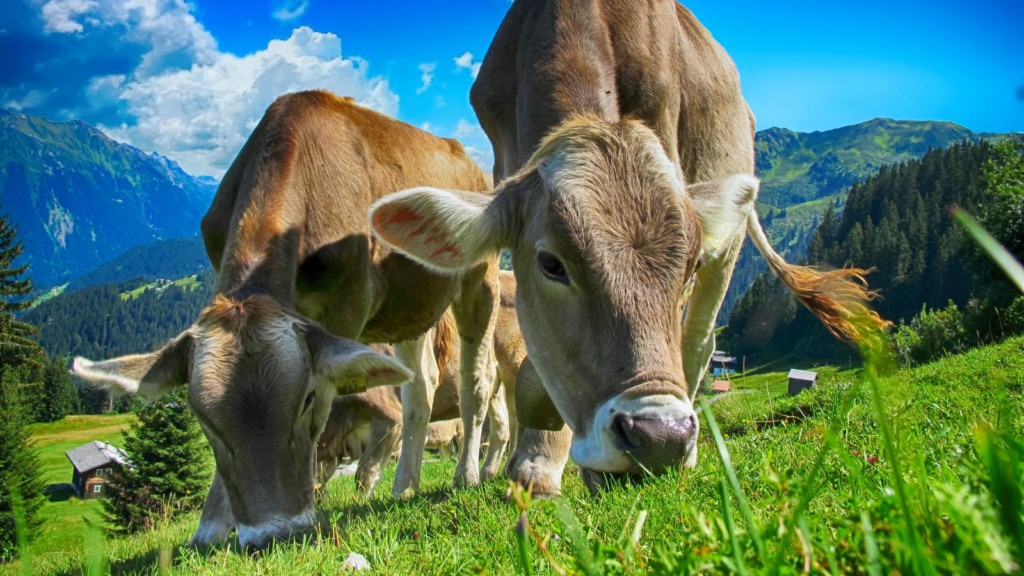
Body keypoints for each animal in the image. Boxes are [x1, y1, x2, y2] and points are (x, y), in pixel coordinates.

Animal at [71, 90, 499, 545]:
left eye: (307, 399)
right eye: (202, 417)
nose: (273, 533)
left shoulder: (347, 308)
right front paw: (211, 527)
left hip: (480, 279)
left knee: (477, 381)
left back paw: (466, 475)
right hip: (409, 307)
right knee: (421, 386)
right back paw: (405, 487)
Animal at [370, 1, 888, 494]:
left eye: (688, 265)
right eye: (550, 264)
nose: (660, 438)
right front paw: (537, 462)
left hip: (731, 234)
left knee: (699, 339)